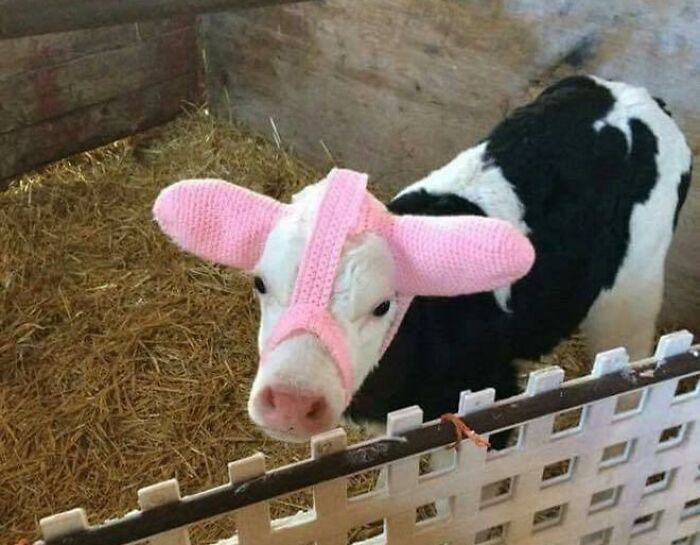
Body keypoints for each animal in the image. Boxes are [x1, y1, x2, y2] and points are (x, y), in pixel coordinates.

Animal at [154, 75, 692, 447]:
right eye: (260, 284)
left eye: (383, 305)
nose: (290, 401)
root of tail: (635, 96)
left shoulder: (492, 399)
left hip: (635, 285)